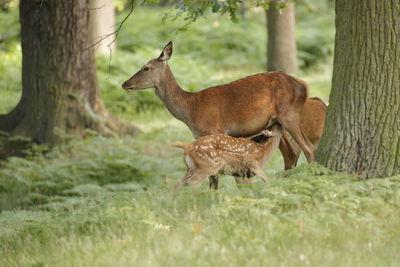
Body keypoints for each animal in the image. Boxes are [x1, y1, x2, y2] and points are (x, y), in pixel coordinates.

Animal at [122, 42, 316, 176]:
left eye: (145, 68)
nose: (125, 83)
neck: (190, 109)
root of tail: (305, 85)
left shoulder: (215, 129)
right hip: (278, 123)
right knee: (292, 153)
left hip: (289, 115)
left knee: (308, 147)